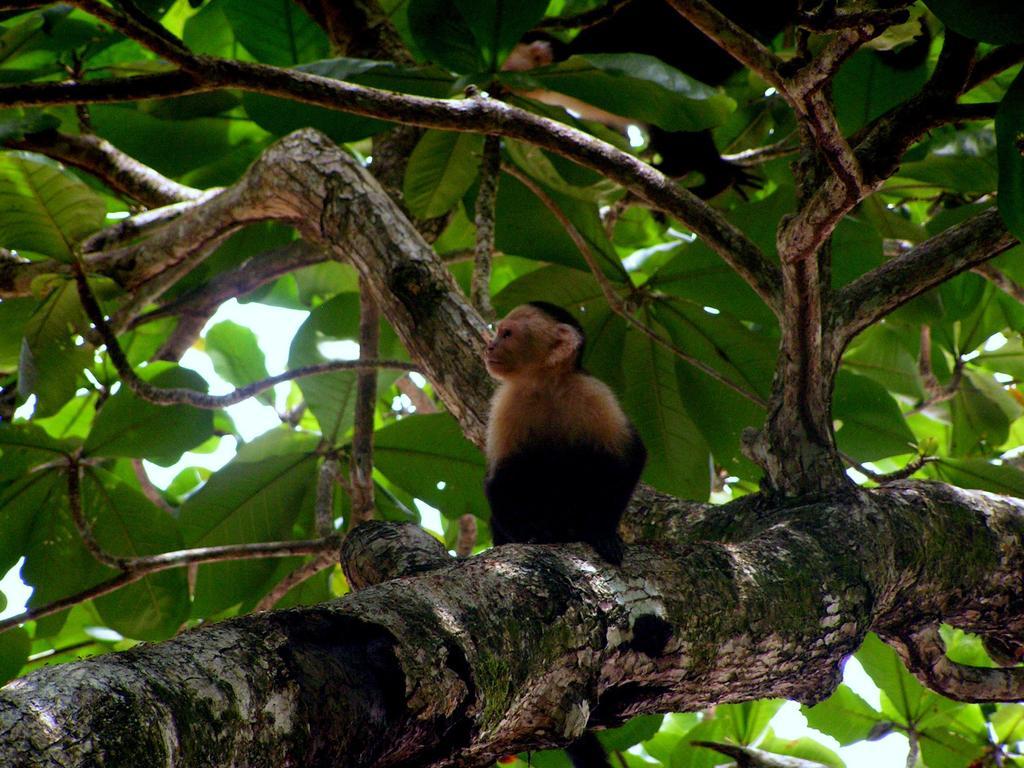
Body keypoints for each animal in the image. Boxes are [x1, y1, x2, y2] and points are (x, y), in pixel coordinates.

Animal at [483, 303, 643, 565]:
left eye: (506, 334)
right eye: (498, 332)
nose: (489, 346)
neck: (547, 385)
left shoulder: (593, 392)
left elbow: (630, 456)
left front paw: (602, 531)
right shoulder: (507, 403)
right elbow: (499, 478)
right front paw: (533, 535)